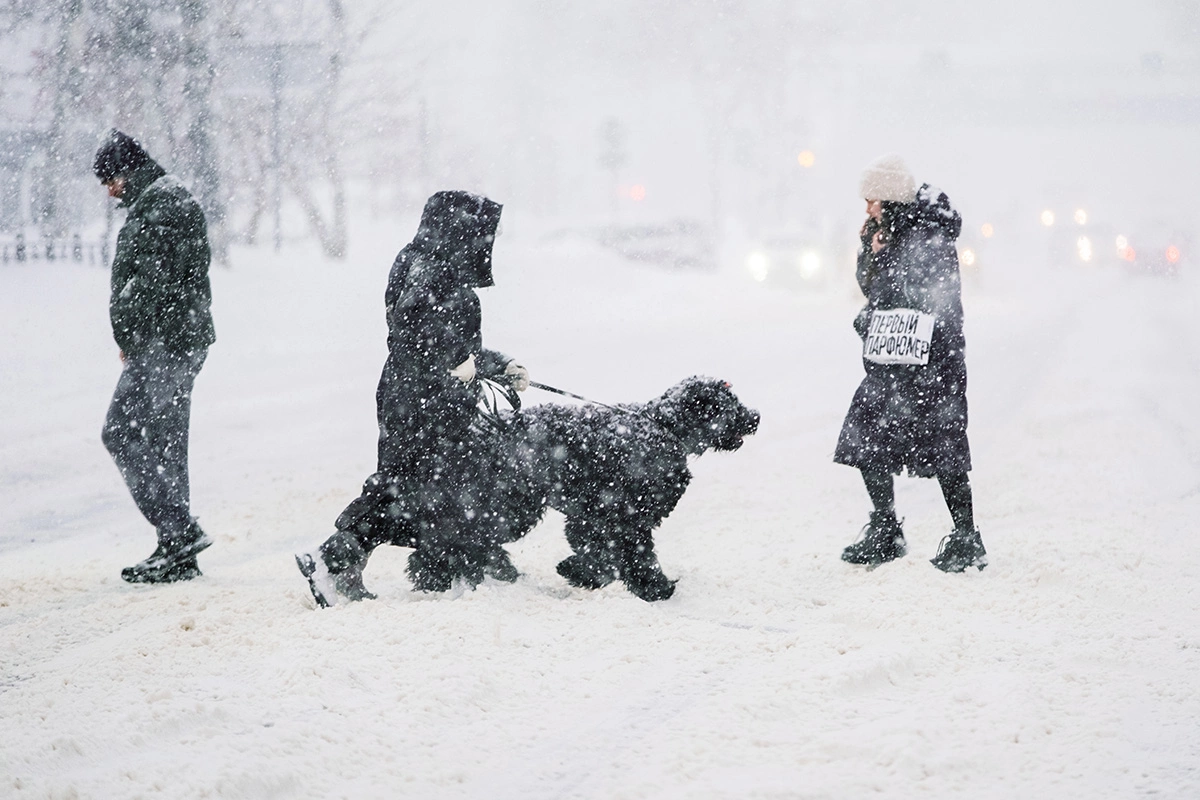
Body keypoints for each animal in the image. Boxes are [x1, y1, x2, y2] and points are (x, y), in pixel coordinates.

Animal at [482, 376, 753, 599]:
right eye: (729, 404)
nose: (756, 416)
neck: (663, 427)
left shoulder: (593, 518)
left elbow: (605, 554)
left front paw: (580, 572)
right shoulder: (623, 518)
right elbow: (627, 556)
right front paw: (655, 588)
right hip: (515, 504)